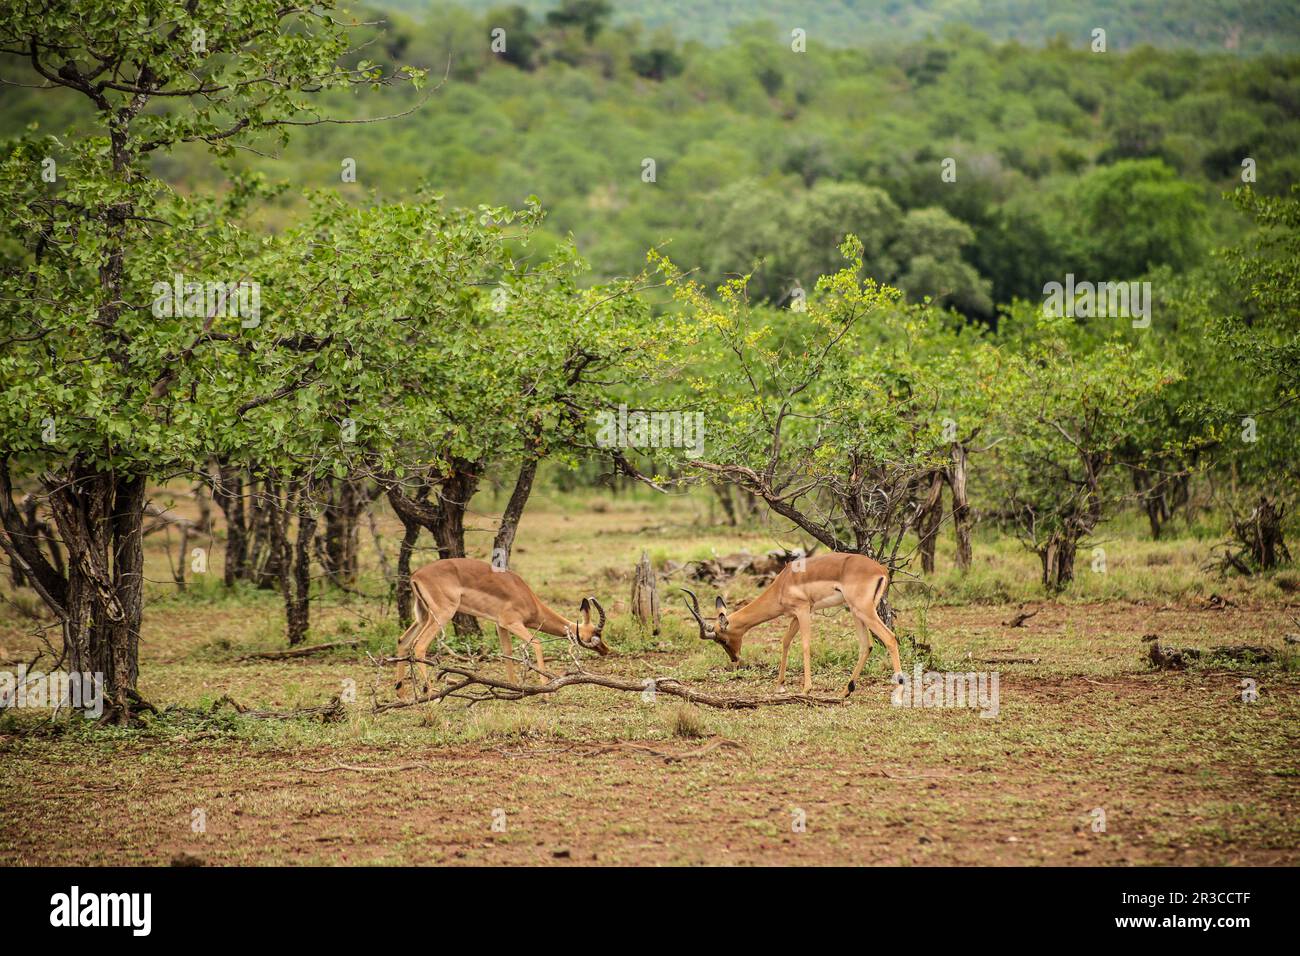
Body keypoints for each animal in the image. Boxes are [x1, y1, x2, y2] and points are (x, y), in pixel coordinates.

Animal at [394, 557, 609, 699]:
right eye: (594, 636)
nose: (606, 650)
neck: (529, 600)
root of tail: (416, 575)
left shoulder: (500, 625)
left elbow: (507, 652)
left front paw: (512, 687)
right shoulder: (512, 623)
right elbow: (536, 643)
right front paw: (545, 693)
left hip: (422, 616)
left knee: (403, 641)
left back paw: (401, 693)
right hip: (441, 615)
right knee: (419, 645)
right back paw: (430, 694)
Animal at [680, 552, 903, 697]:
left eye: (722, 639)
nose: (735, 658)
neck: (782, 583)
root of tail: (881, 569)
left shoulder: (803, 610)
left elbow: (804, 645)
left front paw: (806, 688)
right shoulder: (795, 615)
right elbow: (785, 641)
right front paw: (780, 685)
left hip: (863, 610)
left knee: (890, 638)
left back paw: (899, 690)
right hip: (857, 612)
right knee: (867, 645)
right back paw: (844, 691)